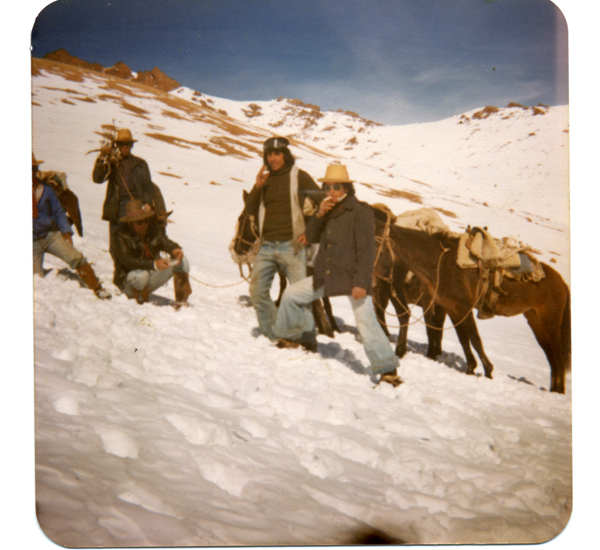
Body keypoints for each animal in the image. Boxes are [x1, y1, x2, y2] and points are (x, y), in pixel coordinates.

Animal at [372, 205, 568, 394]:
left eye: (376, 244)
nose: (372, 274)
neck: (440, 263)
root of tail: (562, 282)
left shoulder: (463, 307)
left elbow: (474, 339)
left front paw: (488, 371)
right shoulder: (452, 309)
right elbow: (463, 338)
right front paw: (471, 368)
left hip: (550, 321)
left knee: (558, 355)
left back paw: (558, 391)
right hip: (535, 321)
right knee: (551, 355)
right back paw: (554, 389)